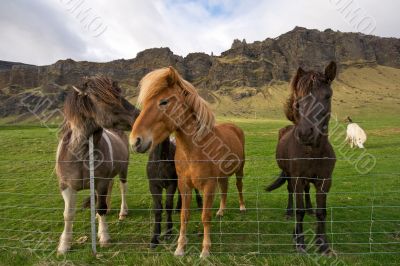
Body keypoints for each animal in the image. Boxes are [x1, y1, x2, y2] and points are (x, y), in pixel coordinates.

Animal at [56, 76, 140, 255]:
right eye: (104, 99)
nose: (138, 116)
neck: (80, 154)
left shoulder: (100, 182)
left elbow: (101, 207)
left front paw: (104, 237)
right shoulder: (66, 186)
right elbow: (68, 214)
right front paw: (64, 245)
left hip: (123, 170)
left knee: (122, 188)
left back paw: (122, 212)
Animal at [130, 66, 245, 258]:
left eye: (164, 102)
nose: (135, 141)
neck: (194, 151)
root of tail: (234, 127)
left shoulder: (208, 186)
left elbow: (205, 216)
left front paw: (205, 250)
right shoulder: (183, 185)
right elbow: (184, 215)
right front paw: (180, 248)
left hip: (239, 170)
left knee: (238, 185)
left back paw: (242, 207)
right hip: (222, 176)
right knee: (225, 189)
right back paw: (221, 211)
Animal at [268, 61, 336, 255]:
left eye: (327, 96)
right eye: (299, 99)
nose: (305, 133)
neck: (313, 152)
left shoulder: (325, 181)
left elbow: (322, 212)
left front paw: (322, 244)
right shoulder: (297, 178)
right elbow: (299, 211)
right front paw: (299, 242)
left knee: (307, 192)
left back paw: (309, 208)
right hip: (289, 174)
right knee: (290, 191)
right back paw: (289, 212)